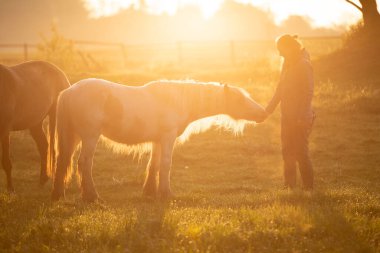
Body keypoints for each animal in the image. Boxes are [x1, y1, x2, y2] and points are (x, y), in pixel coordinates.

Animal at [0, 60, 70, 192]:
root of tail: (60, 72)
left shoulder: (4, 131)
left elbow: (6, 162)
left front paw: (10, 189)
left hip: (55, 118)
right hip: (35, 124)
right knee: (43, 146)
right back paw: (42, 181)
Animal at [51, 79, 268, 202]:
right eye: (240, 100)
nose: (263, 113)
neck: (177, 101)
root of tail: (68, 92)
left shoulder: (157, 141)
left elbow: (153, 165)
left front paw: (149, 193)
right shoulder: (167, 138)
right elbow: (165, 165)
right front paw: (166, 194)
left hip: (73, 137)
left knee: (63, 162)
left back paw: (59, 195)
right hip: (89, 136)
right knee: (84, 164)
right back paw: (92, 197)